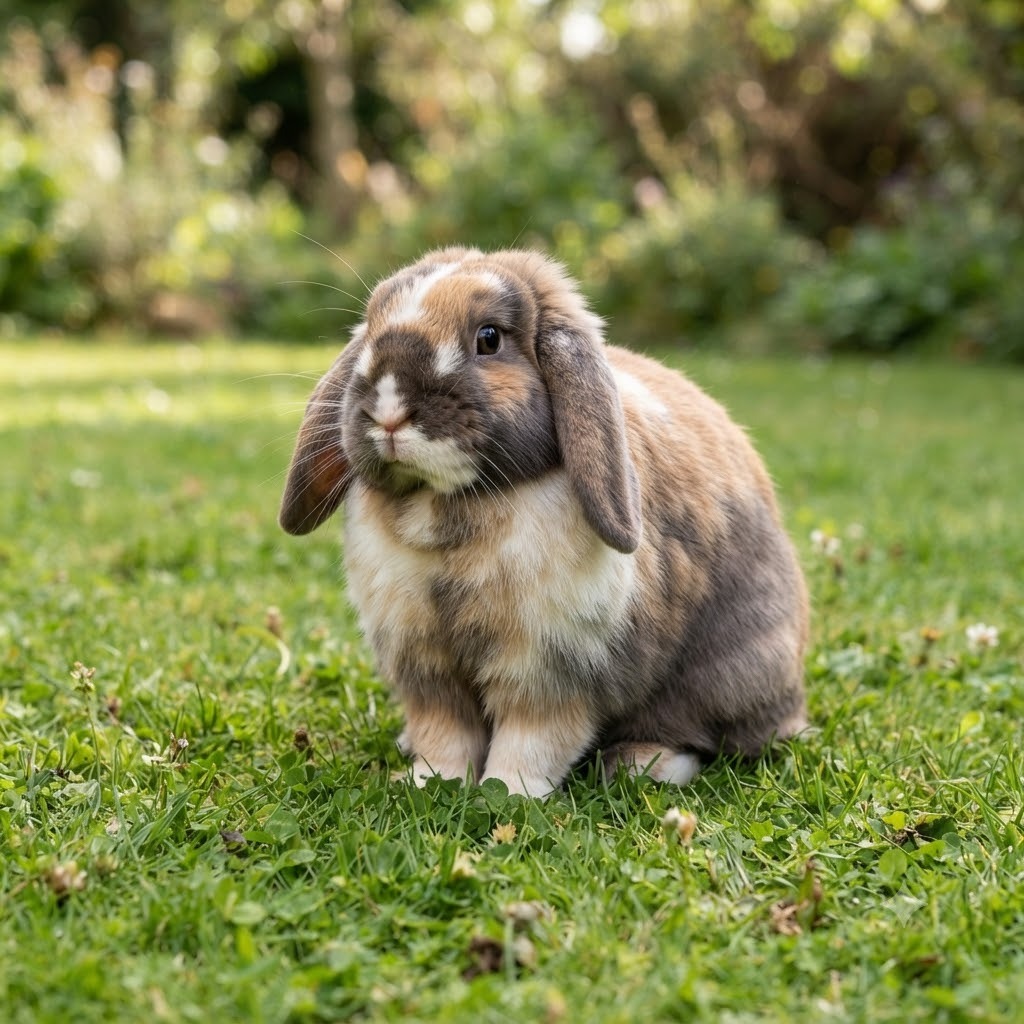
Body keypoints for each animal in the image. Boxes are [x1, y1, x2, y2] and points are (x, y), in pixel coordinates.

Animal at [279, 247, 809, 797]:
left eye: (489, 338)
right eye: (372, 326)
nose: (388, 411)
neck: (447, 504)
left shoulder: (548, 669)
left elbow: (532, 739)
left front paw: (510, 794)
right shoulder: (426, 666)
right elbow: (444, 733)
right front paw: (429, 782)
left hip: (731, 672)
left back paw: (646, 764)